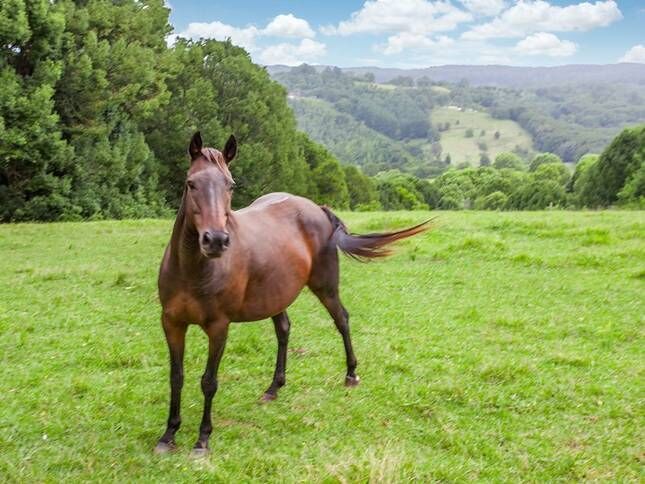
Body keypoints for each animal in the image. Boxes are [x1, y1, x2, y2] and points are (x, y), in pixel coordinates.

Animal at [153, 133, 430, 458]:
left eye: (230, 185)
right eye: (191, 183)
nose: (216, 240)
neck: (192, 269)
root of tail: (318, 209)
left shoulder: (219, 327)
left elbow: (209, 382)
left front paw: (202, 439)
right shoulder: (172, 323)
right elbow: (176, 377)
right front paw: (168, 434)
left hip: (325, 287)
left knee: (342, 320)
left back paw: (351, 375)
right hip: (276, 296)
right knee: (284, 330)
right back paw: (274, 387)